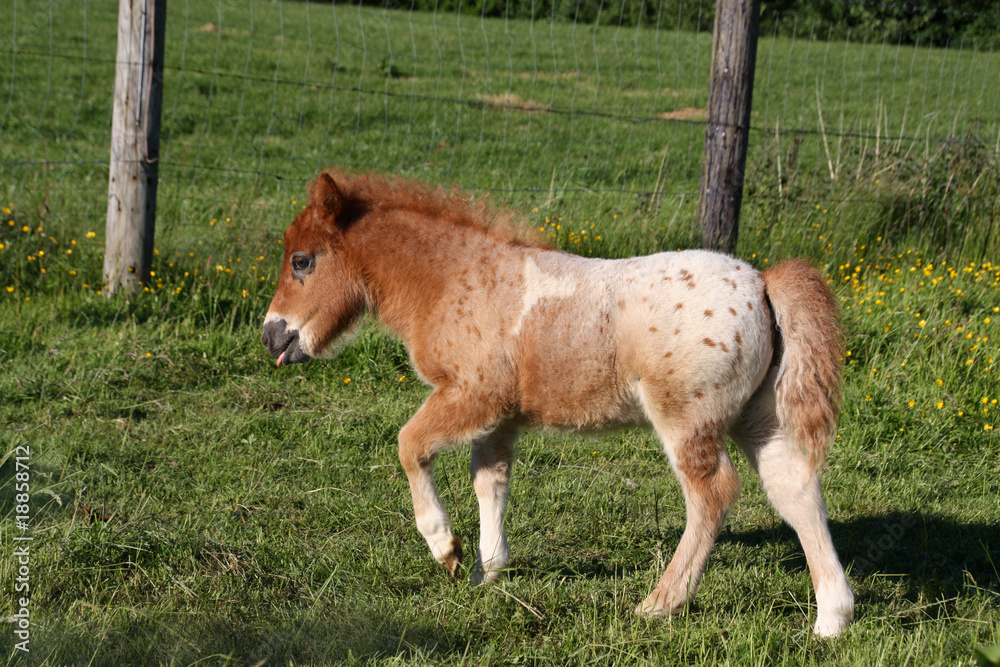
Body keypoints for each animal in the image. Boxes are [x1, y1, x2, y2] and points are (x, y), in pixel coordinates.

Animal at [261, 170, 855, 637]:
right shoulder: (499, 417)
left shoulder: (472, 396)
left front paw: (446, 549)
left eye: (302, 261)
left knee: (714, 494)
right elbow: (490, 480)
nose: (271, 336)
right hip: (759, 418)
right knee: (796, 488)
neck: (455, 279)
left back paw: (659, 605)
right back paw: (832, 619)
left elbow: (410, 446)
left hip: (687, 419)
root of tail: (761, 282)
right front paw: (488, 572)